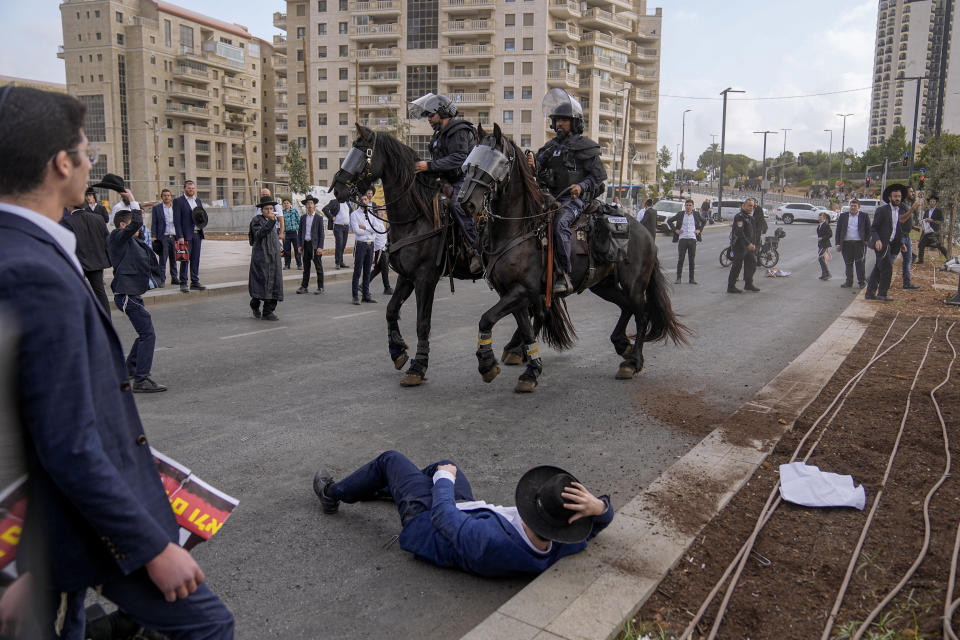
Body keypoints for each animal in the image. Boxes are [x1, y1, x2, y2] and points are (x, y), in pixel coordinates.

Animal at [330, 123, 524, 388]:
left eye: (362, 153)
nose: (337, 188)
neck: (415, 217)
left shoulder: (425, 279)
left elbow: (422, 323)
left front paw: (418, 367)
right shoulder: (406, 277)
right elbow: (391, 310)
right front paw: (398, 351)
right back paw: (517, 349)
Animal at [460, 122, 688, 388]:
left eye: (496, 162)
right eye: (471, 160)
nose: (466, 202)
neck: (519, 228)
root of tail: (644, 231)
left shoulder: (522, 290)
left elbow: (487, 318)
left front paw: (487, 363)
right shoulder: (510, 292)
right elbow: (524, 327)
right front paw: (531, 370)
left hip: (634, 284)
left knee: (641, 314)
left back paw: (633, 362)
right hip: (603, 285)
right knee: (626, 307)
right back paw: (622, 344)